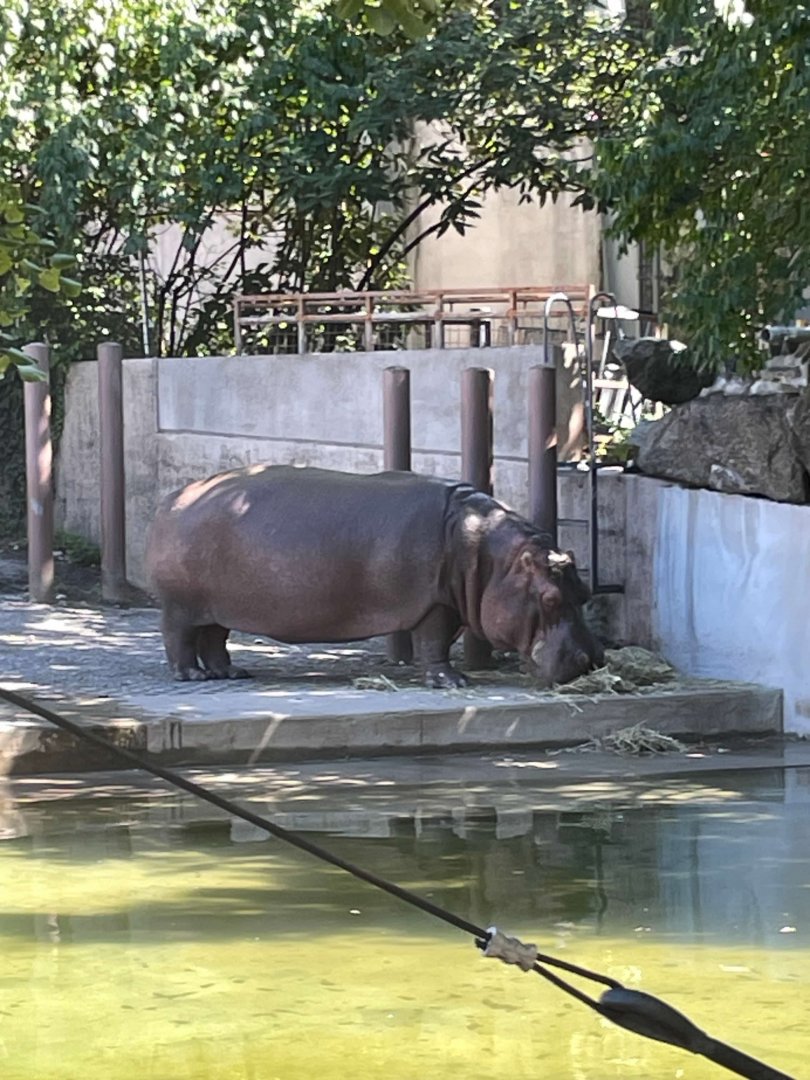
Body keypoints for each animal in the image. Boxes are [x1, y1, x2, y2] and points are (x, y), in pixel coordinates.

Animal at [146, 465, 603, 688]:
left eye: (584, 591)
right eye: (549, 599)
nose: (593, 662)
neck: (493, 557)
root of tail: (172, 498)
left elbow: (435, 642)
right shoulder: (435, 603)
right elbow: (434, 643)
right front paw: (454, 682)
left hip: (216, 605)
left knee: (214, 638)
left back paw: (230, 673)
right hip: (181, 605)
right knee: (179, 638)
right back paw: (192, 676)